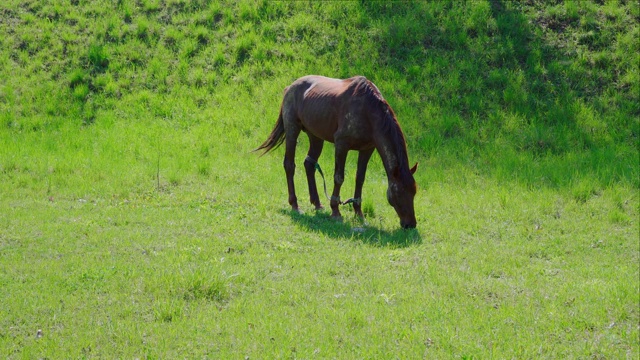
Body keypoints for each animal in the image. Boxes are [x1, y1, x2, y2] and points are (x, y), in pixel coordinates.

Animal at [255, 75, 420, 231]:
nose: (410, 224)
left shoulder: (367, 149)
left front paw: (359, 213)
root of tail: (290, 87)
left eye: (414, 192)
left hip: (316, 137)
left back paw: (317, 203)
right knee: (289, 165)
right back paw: (295, 204)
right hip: (292, 130)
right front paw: (335, 211)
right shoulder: (341, 145)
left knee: (309, 164)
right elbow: (339, 177)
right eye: (399, 193)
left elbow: (360, 179)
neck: (367, 111)